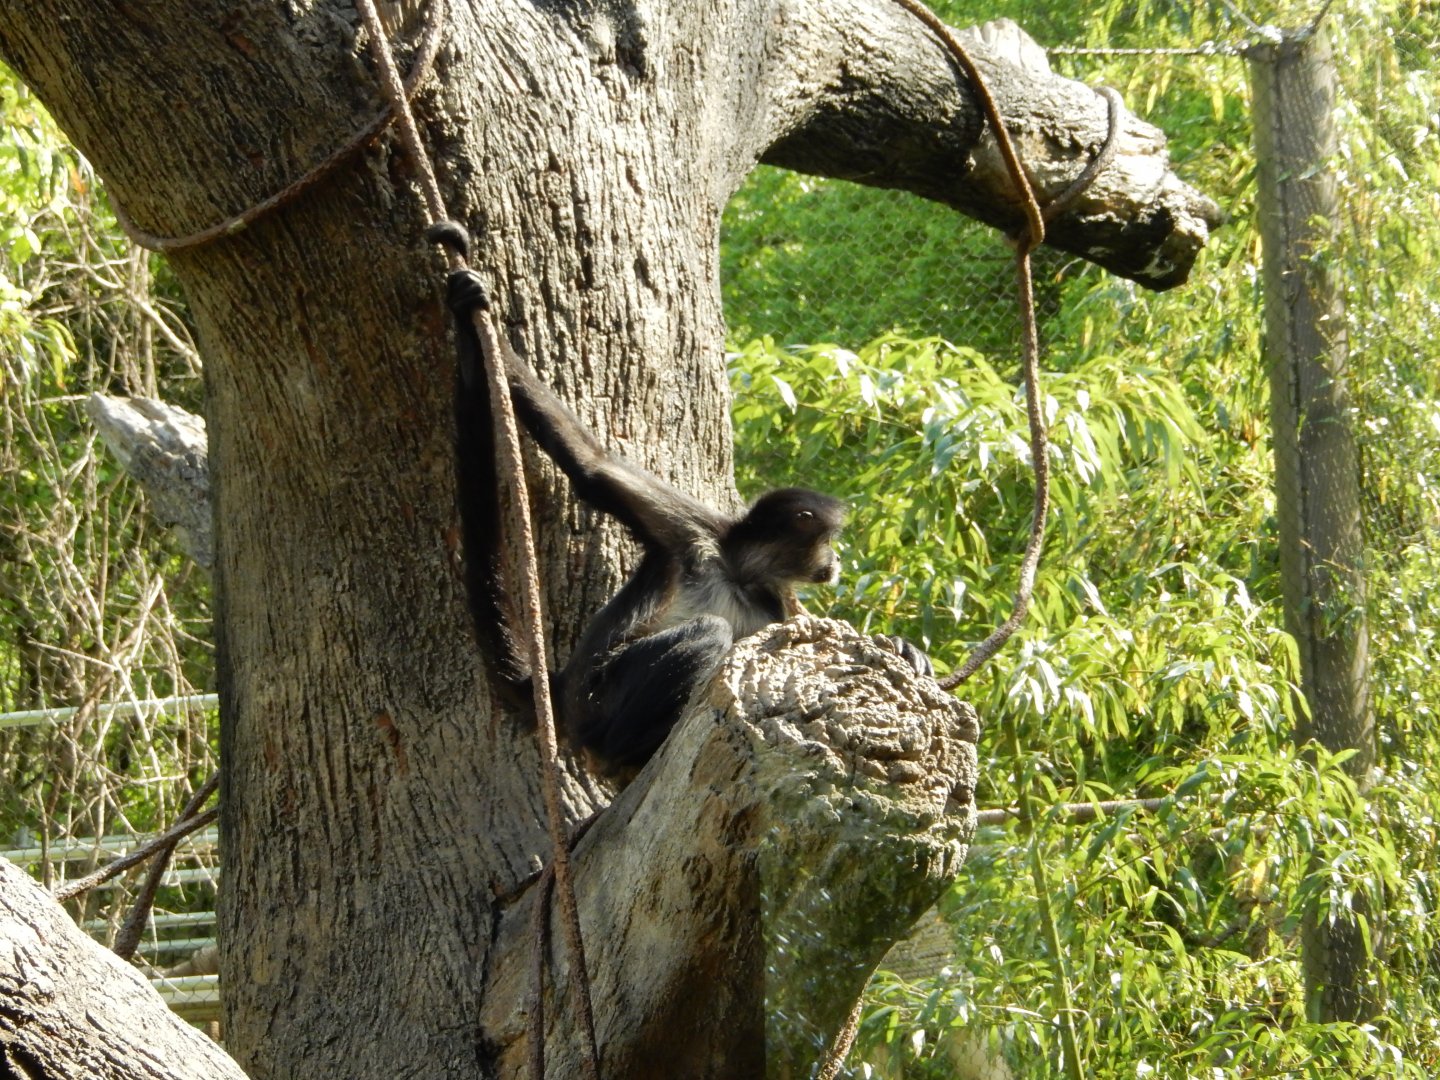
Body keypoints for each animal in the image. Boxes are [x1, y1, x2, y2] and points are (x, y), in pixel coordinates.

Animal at [431, 223, 930, 776]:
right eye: (829, 543)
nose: (837, 562)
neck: (739, 574)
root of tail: (562, 695)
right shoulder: (693, 531)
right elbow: (592, 464)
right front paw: (470, 301)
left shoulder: (775, 604)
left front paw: (905, 650)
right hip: (600, 699)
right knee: (709, 632)